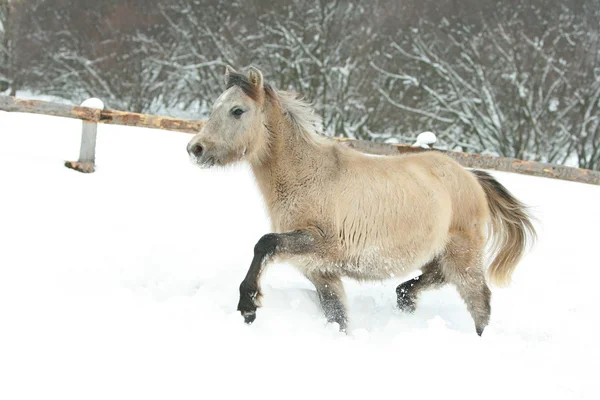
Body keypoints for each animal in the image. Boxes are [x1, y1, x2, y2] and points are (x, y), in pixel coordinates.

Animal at [186, 65, 536, 334]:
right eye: (215, 107)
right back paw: (406, 300)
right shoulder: (322, 272)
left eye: (237, 110)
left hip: (463, 257)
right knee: (428, 281)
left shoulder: (320, 242)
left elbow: (265, 243)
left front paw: (248, 305)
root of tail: (470, 177)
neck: (309, 176)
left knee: (480, 303)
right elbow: (338, 318)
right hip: (438, 256)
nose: (195, 149)